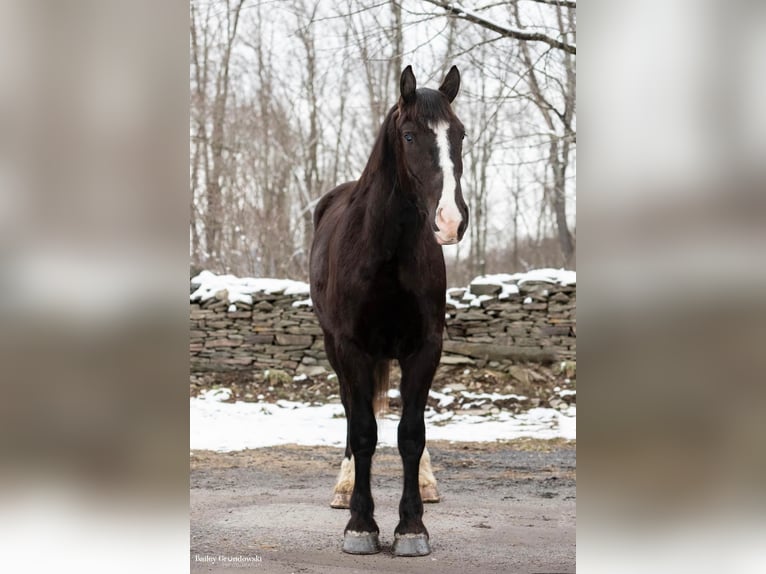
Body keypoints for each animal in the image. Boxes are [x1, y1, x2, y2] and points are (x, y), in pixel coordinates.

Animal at [310, 64, 468, 560]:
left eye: (460, 134)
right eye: (409, 135)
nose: (451, 220)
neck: (385, 252)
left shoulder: (424, 348)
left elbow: (411, 434)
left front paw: (412, 527)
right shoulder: (351, 348)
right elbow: (363, 430)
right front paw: (361, 525)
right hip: (336, 349)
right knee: (349, 411)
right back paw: (343, 489)